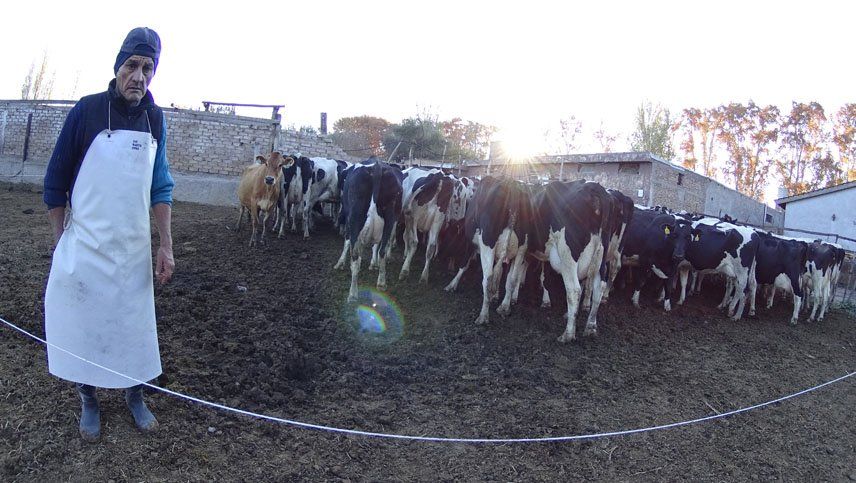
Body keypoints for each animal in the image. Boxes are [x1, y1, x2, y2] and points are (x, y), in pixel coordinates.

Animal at [333, 159, 403, 302]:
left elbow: (347, 241)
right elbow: (375, 246)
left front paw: (340, 263)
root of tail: (376, 166)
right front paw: (373, 264)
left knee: (354, 254)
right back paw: (381, 283)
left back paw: (353, 294)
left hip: (355, 216)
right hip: (390, 217)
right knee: (382, 250)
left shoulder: (348, 219)